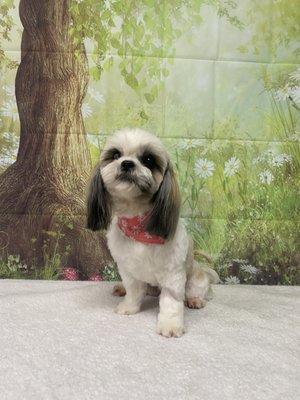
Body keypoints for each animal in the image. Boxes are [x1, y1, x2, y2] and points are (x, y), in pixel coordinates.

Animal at [86, 128, 218, 338]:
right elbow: (133, 290)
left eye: (148, 159)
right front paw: (128, 307)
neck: (138, 225)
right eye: (115, 155)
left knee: (196, 292)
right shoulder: (128, 269)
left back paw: (195, 300)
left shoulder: (173, 275)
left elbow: (171, 302)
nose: (127, 163)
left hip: (195, 280)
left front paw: (170, 325)